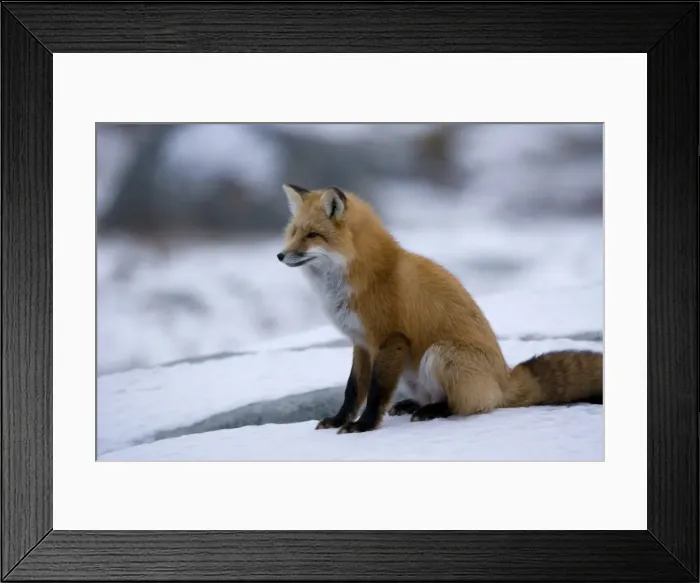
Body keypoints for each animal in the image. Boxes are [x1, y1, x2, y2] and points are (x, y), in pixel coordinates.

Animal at [277, 183, 603, 434]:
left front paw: (364, 426)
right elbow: (353, 389)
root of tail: (505, 379)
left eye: (312, 235)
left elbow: (377, 391)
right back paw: (415, 405)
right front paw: (338, 420)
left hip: (440, 354)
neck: (365, 277)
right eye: (292, 232)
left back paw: (435, 410)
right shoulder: (361, 343)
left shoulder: (390, 338)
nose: (280, 255)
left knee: (471, 406)